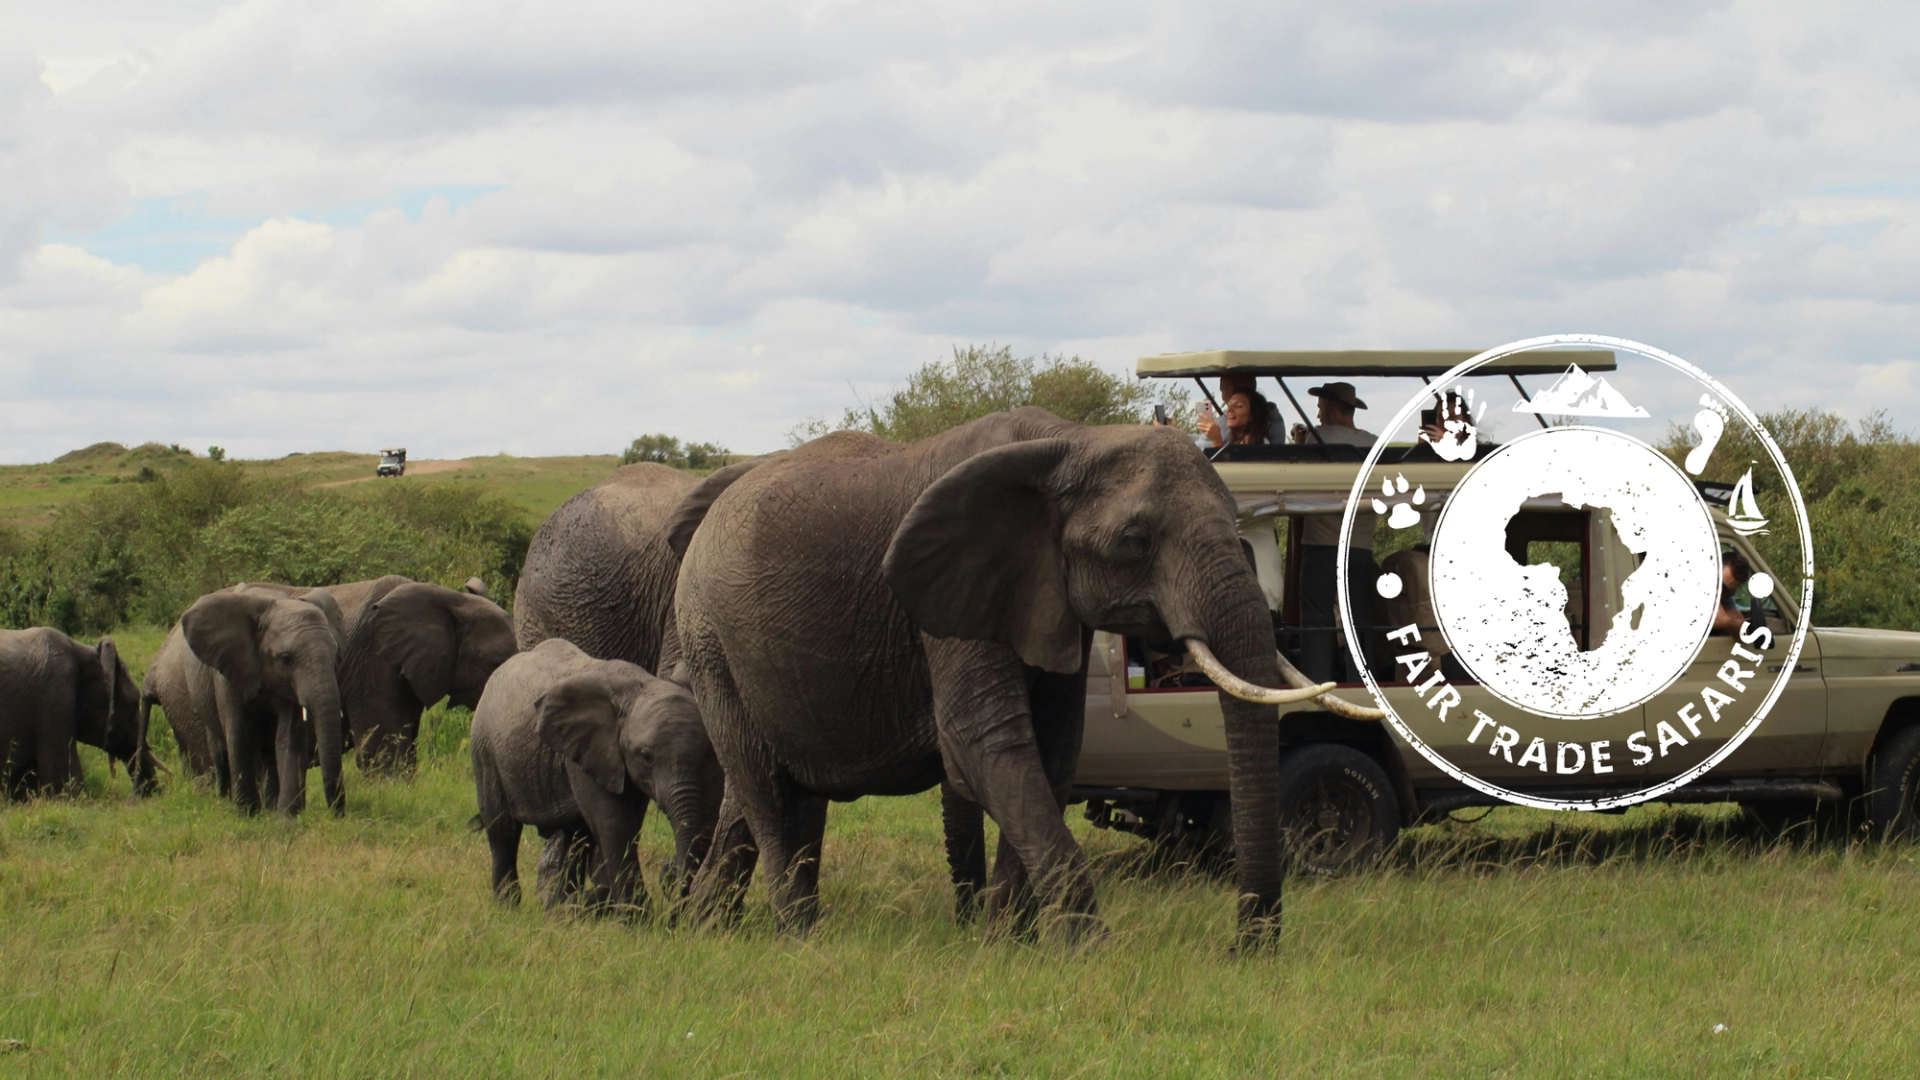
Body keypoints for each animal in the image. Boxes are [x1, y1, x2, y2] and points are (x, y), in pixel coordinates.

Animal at [141, 585, 347, 815]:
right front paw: (248, 814)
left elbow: (290, 737)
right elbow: (239, 733)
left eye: (335, 655)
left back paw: (270, 807)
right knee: (219, 750)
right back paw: (225, 801)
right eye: (286, 659)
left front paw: (286, 816)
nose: (336, 814)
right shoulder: (229, 671)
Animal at [470, 638, 724, 913]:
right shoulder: (588, 755)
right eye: (646, 756)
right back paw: (509, 907)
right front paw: (637, 917)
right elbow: (615, 824)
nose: (670, 872)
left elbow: (627, 824)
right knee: (502, 830)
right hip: (485, 749)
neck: (636, 687)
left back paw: (559, 909)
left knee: (576, 837)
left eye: (708, 755)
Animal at [674, 407, 1345, 944]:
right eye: (1135, 541)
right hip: (710, 638)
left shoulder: (1046, 600)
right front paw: (1091, 953)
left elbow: (1051, 752)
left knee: (764, 788)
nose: (1245, 949)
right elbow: (985, 746)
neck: (1073, 440)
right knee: (763, 785)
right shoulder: (949, 601)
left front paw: (1005, 944)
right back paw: (798, 936)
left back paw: (706, 930)